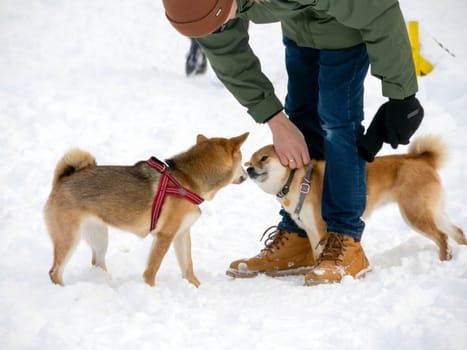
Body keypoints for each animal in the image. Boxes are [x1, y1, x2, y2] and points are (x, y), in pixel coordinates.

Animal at [44, 131, 250, 288]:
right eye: (241, 160)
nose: (247, 174)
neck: (187, 180)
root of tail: (63, 179)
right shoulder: (165, 236)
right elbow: (152, 270)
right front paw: (150, 290)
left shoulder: (182, 234)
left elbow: (188, 267)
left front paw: (196, 288)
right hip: (69, 239)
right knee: (54, 272)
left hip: (100, 237)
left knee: (97, 263)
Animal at [247, 135, 466, 262]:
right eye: (249, 161)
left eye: (264, 158)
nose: (248, 169)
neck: (296, 180)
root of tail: (422, 159)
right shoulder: (310, 228)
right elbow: (316, 254)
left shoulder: (321, 227)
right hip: (432, 212)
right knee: (457, 232)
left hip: (414, 213)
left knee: (442, 236)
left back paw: (444, 258)